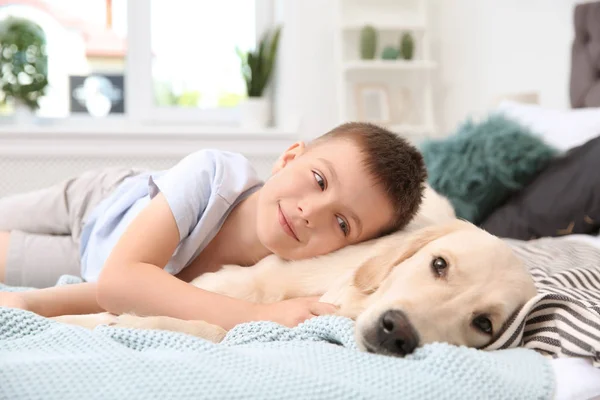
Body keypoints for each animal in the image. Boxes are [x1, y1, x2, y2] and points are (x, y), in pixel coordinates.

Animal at [54, 187, 536, 356]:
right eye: (439, 264)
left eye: (483, 324)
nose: (398, 331)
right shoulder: (238, 280)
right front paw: (95, 319)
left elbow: (216, 328)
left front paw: (133, 322)